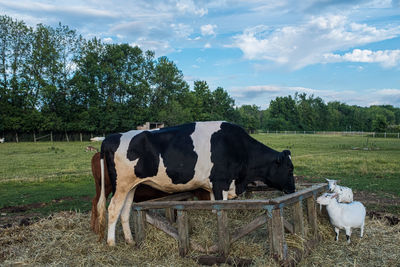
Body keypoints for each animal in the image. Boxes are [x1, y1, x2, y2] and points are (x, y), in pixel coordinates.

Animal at [98, 121, 296, 247]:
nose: (293, 189)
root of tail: (111, 137)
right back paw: (111, 243)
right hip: (121, 185)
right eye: (289, 169)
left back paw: (130, 240)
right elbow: (221, 209)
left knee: (125, 210)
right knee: (113, 208)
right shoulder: (220, 183)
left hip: (131, 186)